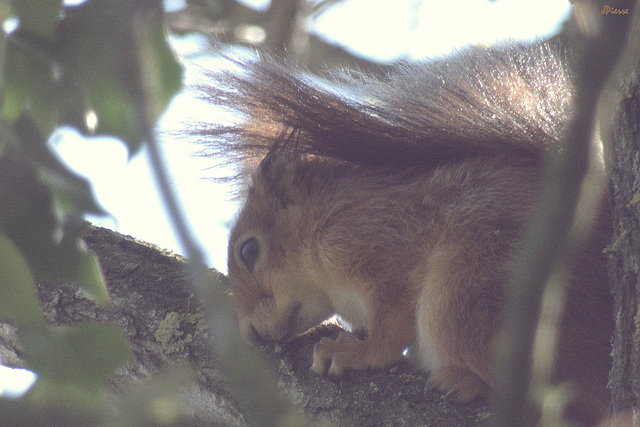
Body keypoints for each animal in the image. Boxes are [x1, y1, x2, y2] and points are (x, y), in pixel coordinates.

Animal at [204, 41, 616, 424]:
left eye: (248, 250)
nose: (250, 334)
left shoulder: (381, 250)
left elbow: (390, 330)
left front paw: (354, 353)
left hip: (467, 292)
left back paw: (469, 382)